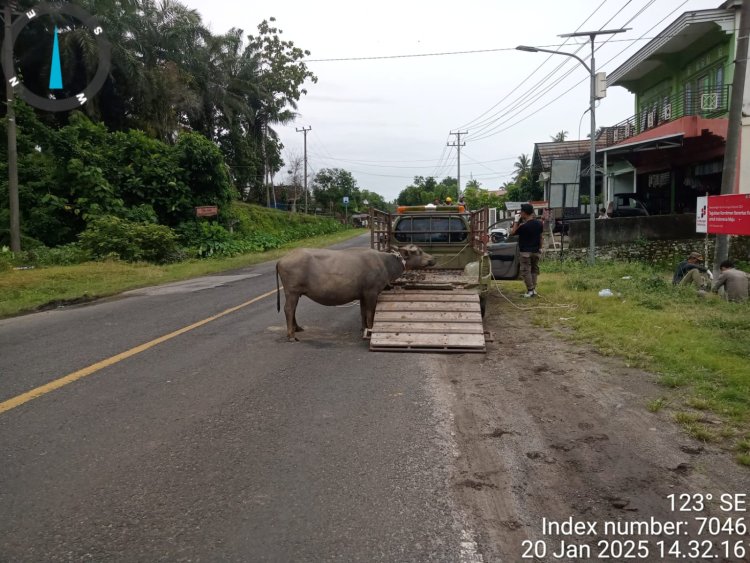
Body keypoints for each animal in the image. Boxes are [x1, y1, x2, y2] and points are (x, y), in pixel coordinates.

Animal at [276, 245, 434, 342]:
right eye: (419, 251)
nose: (433, 259)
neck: (385, 263)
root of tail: (282, 259)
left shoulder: (363, 295)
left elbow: (363, 312)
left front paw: (363, 328)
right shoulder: (371, 293)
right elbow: (370, 313)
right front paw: (369, 331)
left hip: (295, 293)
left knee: (293, 309)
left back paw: (297, 328)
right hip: (292, 291)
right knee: (288, 309)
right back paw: (291, 335)